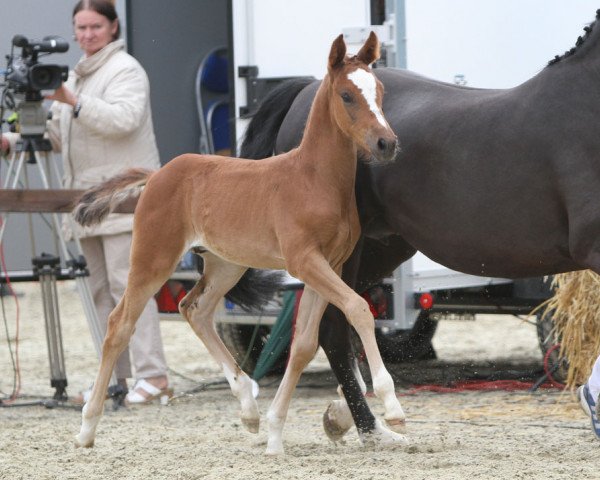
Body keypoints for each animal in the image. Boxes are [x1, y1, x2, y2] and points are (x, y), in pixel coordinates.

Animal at [70, 32, 408, 454]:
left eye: (379, 91)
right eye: (347, 95)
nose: (386, 143)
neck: (314, 179)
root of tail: (157, 174)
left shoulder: (328, 264)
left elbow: (304, 345)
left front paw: (275, 434)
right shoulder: (304, 261)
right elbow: (359, 309)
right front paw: (392, 404)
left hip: (225, 265)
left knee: (194, 309)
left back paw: (248, 407)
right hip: (153, 258)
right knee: (120, 324)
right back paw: (86, 428)